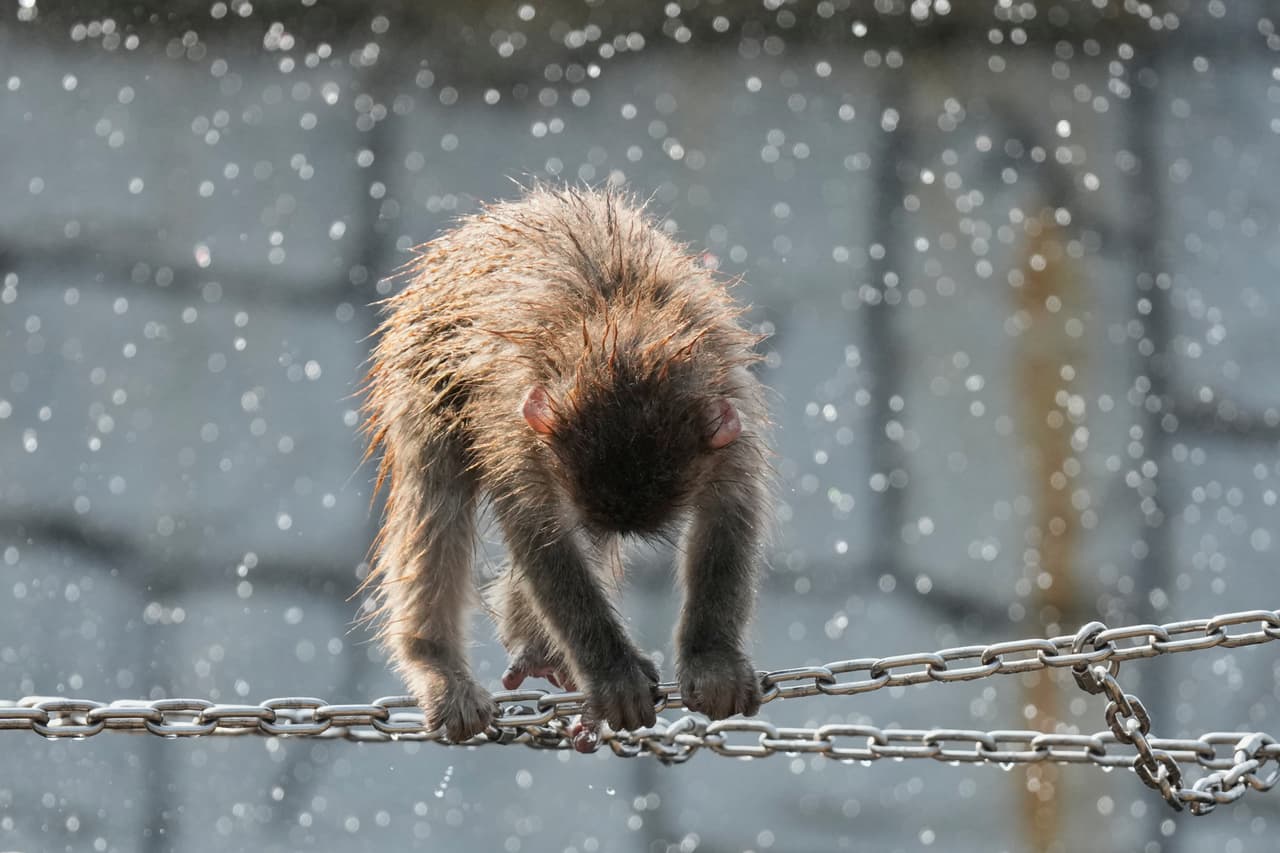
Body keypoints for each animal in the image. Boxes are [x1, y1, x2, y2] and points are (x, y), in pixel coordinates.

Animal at [362, 185, 771, 747]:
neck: (622, 333)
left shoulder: (728, 412)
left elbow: (728, 516)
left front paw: (713, 659)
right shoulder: (517, 430)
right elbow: (541, 534)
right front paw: (612, 675)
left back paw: (537, 647)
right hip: (420, 359)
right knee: (436, 495)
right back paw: (438, 665)